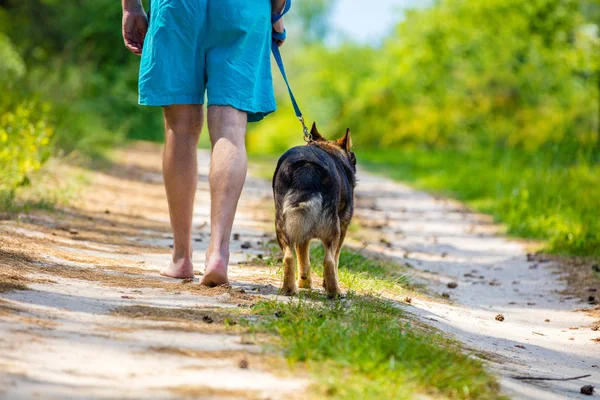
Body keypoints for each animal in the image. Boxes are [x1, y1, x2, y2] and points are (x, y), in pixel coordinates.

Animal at [272, 122, 356, 296]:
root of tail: (307, 167)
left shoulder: (302, 234)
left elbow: (303, 259)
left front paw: (304, 283)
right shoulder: (343, 227)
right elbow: (336, 260)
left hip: (282, 224)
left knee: (288, 257)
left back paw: (289, 289)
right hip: (333, 229)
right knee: (329, 260)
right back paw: (335, 292)